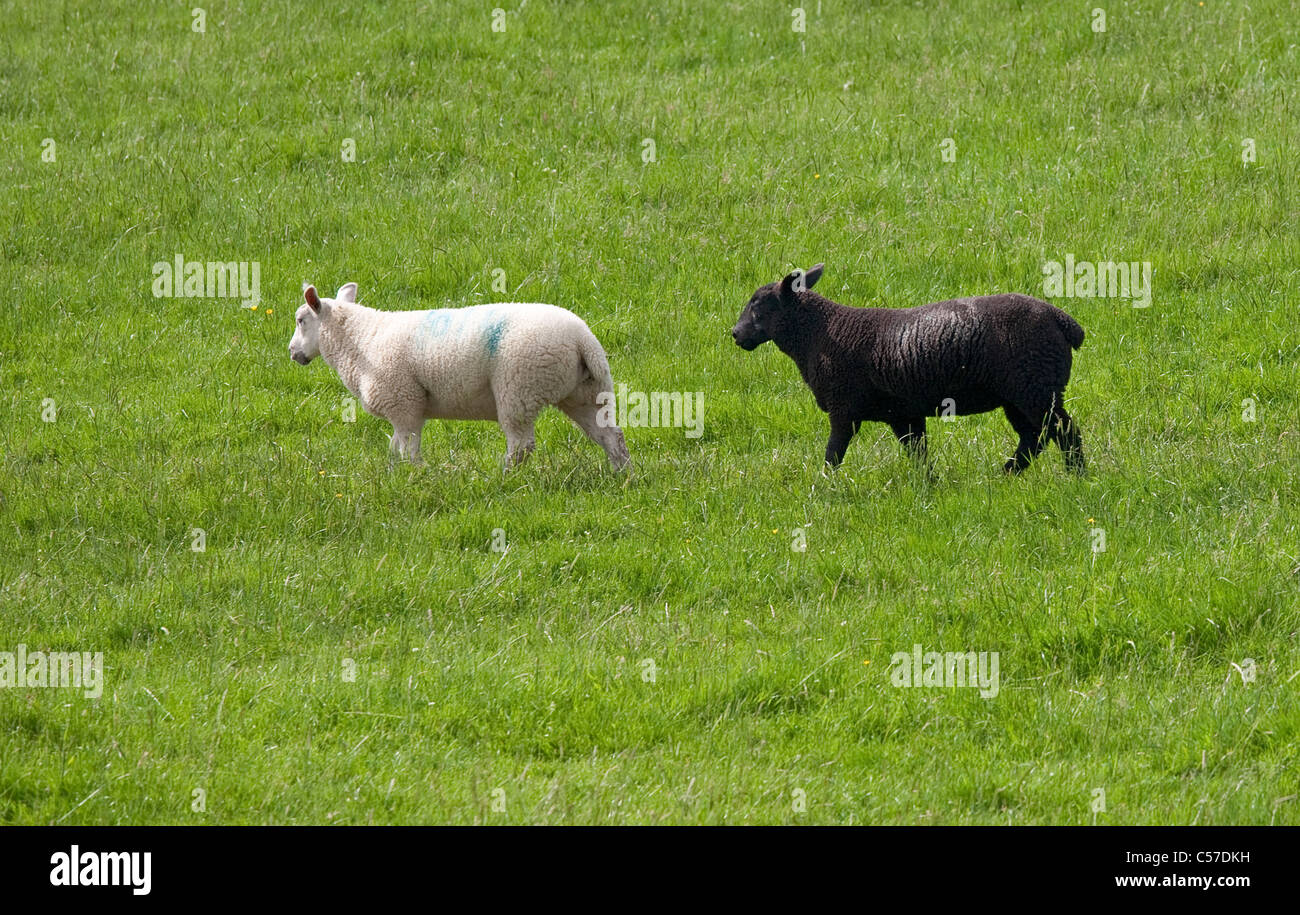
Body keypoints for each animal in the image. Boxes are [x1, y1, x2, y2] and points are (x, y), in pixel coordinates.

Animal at [288, 280, 629, 467]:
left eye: (301, 320)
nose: (292, 353)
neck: (361, 339)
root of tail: (583, 340)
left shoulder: (404, 404)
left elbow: (406, 450)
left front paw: (412, 477)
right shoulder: (404, 409)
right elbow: (394, 450)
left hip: (518, 388)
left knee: (521, 446)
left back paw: (504, 479)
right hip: (586, 392)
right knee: (610, 435)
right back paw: (623, 476)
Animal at [733, 262, 1086, 473]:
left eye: (759, 303)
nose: (736, 334)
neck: (818, 332)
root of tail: (1063, 320)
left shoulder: (843, 408)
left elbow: (833, 455)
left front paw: (821, 490)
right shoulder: (902, 414)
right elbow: (917, 454)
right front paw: (929, 486)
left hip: (1035, 387)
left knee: (1065, 433)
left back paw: (1076, 476)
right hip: (1020, 395)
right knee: (1034, 437)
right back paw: (1006, 474)